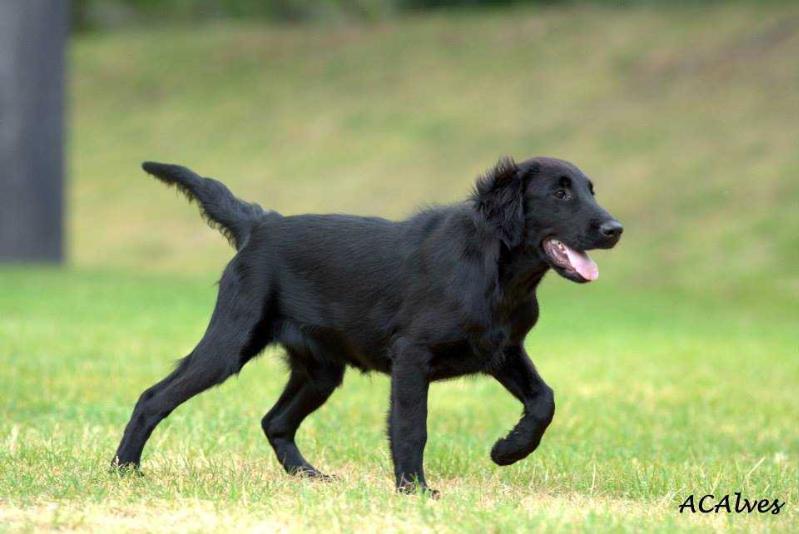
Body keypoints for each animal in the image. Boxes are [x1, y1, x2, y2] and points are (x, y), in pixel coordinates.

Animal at [114, 157, 624, 496]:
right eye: (560, 193)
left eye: (590, 190)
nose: (614, 229)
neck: (497, 271)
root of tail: (261, 224)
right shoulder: (412, 356)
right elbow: (412, 426)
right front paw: (414, 490)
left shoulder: (503, 349)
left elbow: (544, 401)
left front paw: (508, 449)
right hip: (230, 344)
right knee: (153, 398)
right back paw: (123, 469)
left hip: (321, 371)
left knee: (274, 420)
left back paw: (310, 476)